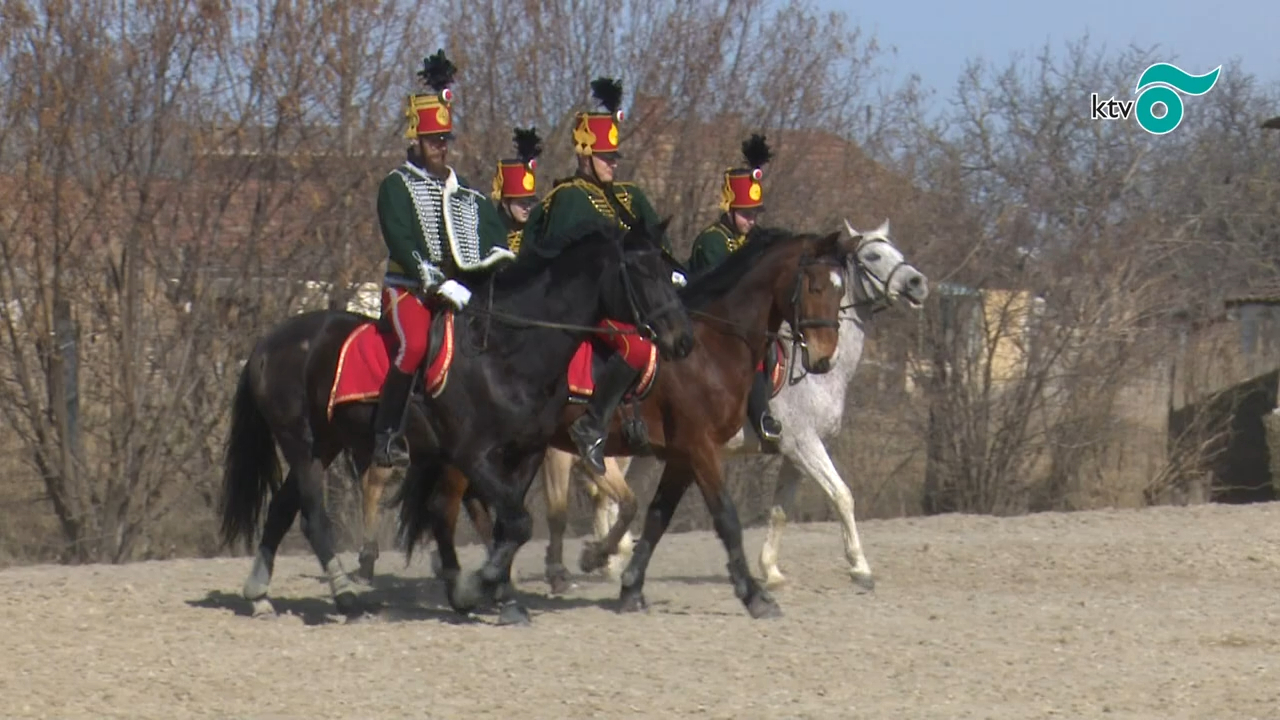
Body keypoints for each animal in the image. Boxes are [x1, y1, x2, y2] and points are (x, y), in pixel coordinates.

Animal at [216, 215, 696, 620]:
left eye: (668, 269)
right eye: (642, 271)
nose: (682, 339)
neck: (507, 351)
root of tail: (270, 340)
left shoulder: (525, 453)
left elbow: (508, 525)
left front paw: (500, 595)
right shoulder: (473, 454)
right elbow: (515, 522)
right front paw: (481, 585)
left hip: (326, 442)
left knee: (283, 508)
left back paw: (259, 595)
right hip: (300, 440)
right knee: (314, 515)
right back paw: (346, 595)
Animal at [394, 225, 855, 617]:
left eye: (840, 288)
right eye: (815, 286)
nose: (823, 357)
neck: (712, 348)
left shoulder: (682, 455)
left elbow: (657, 516)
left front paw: (631, 584)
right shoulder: (702, 447)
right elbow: (726, 517)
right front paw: (754, 594)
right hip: (476, 449)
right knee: (448, 508)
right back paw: (472, 586)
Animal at [535, 217, 926, 589]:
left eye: (894, 249)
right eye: (872, 256)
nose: (917, 283)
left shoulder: (793, 454)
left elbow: (780, 510)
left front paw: (771, 570)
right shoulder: (803, 444)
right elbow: (842, 495)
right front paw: (860, 568)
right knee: (603, 493)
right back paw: (607, 560)